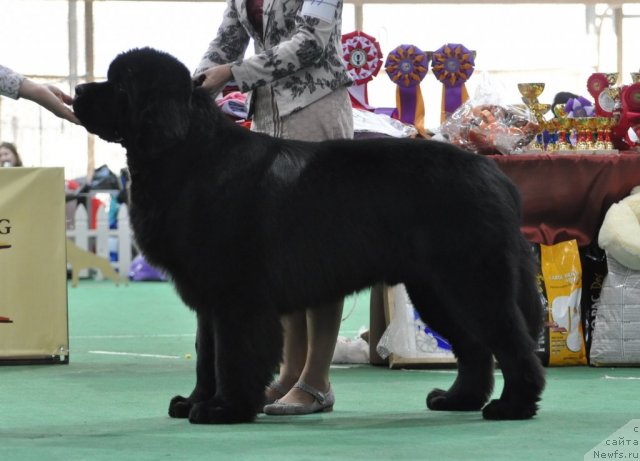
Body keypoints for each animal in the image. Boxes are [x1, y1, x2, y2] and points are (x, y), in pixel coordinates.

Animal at [74, 47, 544, 424]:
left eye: (119, 84)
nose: (77, 92)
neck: (189, 155)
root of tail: (493, 174)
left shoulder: (236, 295)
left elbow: (231, 354)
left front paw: (224, 409)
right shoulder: (209, 297)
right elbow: (206, 355)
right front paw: (194, 402)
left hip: (470, 279)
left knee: (511, 341)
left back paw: (513, 406)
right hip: (434, 289)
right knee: (475, 345)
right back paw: (458, 399)